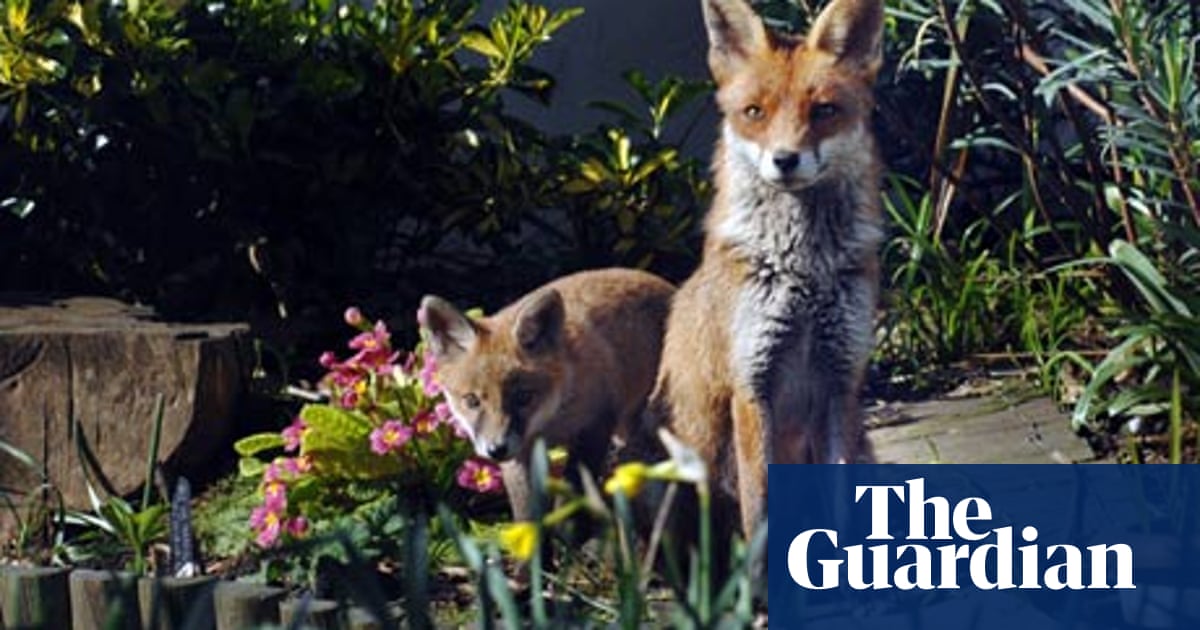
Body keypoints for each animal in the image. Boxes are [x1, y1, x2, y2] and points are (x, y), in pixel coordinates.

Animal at [419, 268, 674, 522]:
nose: (496, 450)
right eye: (472, 401)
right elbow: (527, 515)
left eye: (523, 397)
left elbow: (571, 500)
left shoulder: (596, 426)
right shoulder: (520, 456)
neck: (550, 423)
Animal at [649, 0, 885, 553]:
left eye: (823, 111)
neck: (804, 272)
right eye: (754, 113)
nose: (785, 159)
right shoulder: (751, 382)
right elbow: (759, 511)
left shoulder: (841, 381)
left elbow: (840, 509)